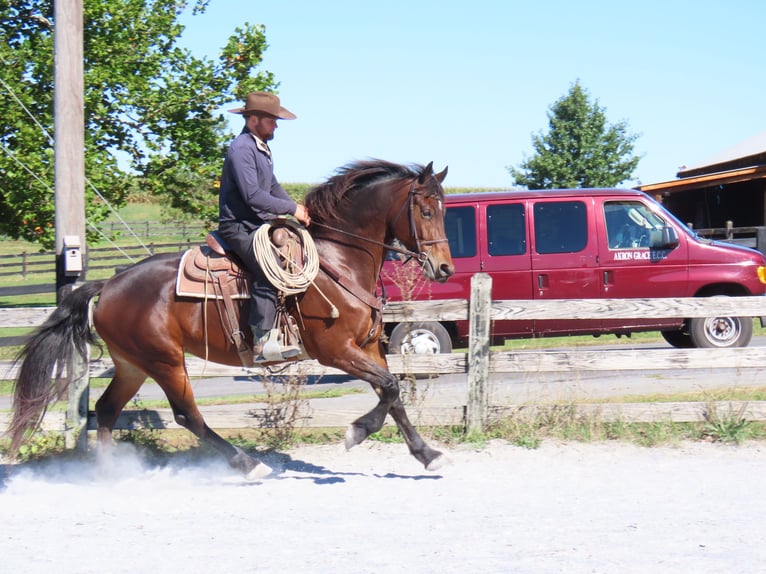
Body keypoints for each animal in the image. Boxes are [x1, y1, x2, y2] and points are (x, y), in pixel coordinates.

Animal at [6, 160, 455, 478]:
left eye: (442, 210)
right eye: (424, 210)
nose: (444, 268)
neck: (337, 262)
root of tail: (110, 283)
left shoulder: (368, 348)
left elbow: (392, 394)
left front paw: (427, 454)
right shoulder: (336, 351)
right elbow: (390, 389)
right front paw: (355, 432)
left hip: (132, 363)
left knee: (107, 409)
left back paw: (109, 472)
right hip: (164, 360)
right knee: (187, 415)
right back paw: (247, 464)